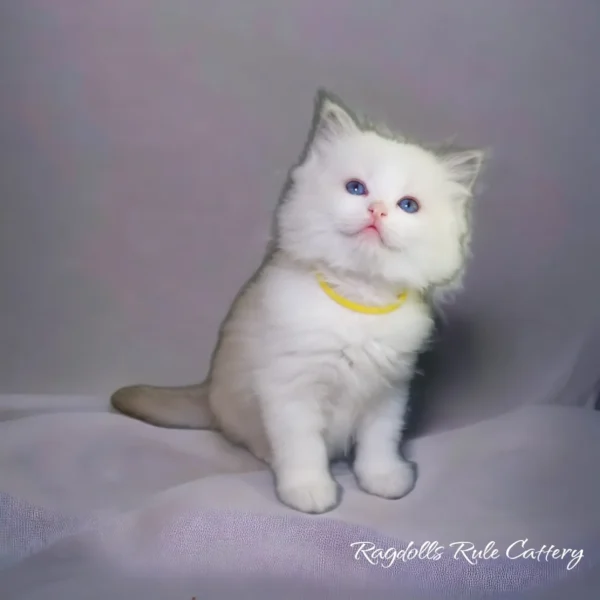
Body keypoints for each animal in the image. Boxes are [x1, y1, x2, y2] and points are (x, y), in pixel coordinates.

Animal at [111, 91, 482, 512]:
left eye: (408, 206)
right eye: (356, 188)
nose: (377, 210)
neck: (357, 299)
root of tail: (207, 391)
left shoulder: (388, 391)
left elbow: (379, 444)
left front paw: (384, 479)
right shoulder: (292, 387)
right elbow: (303, 449)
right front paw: (309, 491)